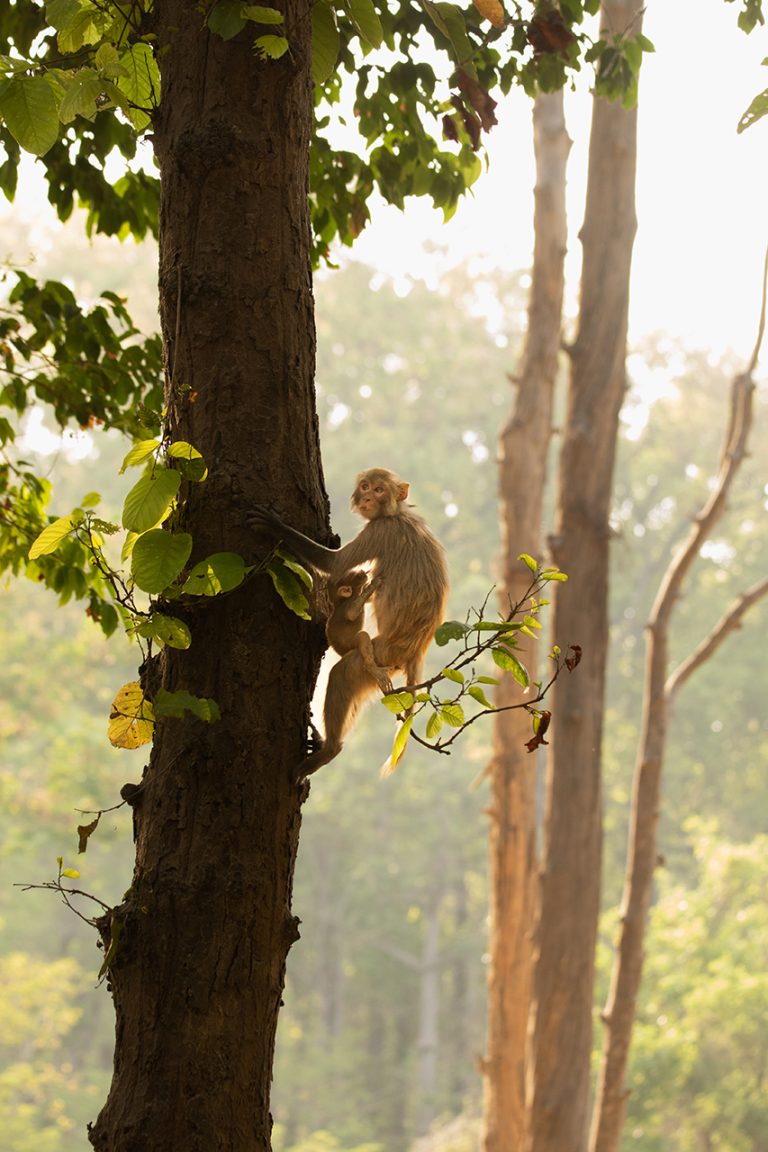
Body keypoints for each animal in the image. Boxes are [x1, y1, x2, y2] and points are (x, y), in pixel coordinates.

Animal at [248, 468, 449, 780]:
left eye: (379, 490)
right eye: (366, 486)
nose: (367, 497)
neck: (396, 513)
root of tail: (417, 651)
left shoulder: (380, 531)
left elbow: (334, 564)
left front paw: (275, 526)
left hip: (379, 655)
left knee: (343, 671)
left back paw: (331, 748)